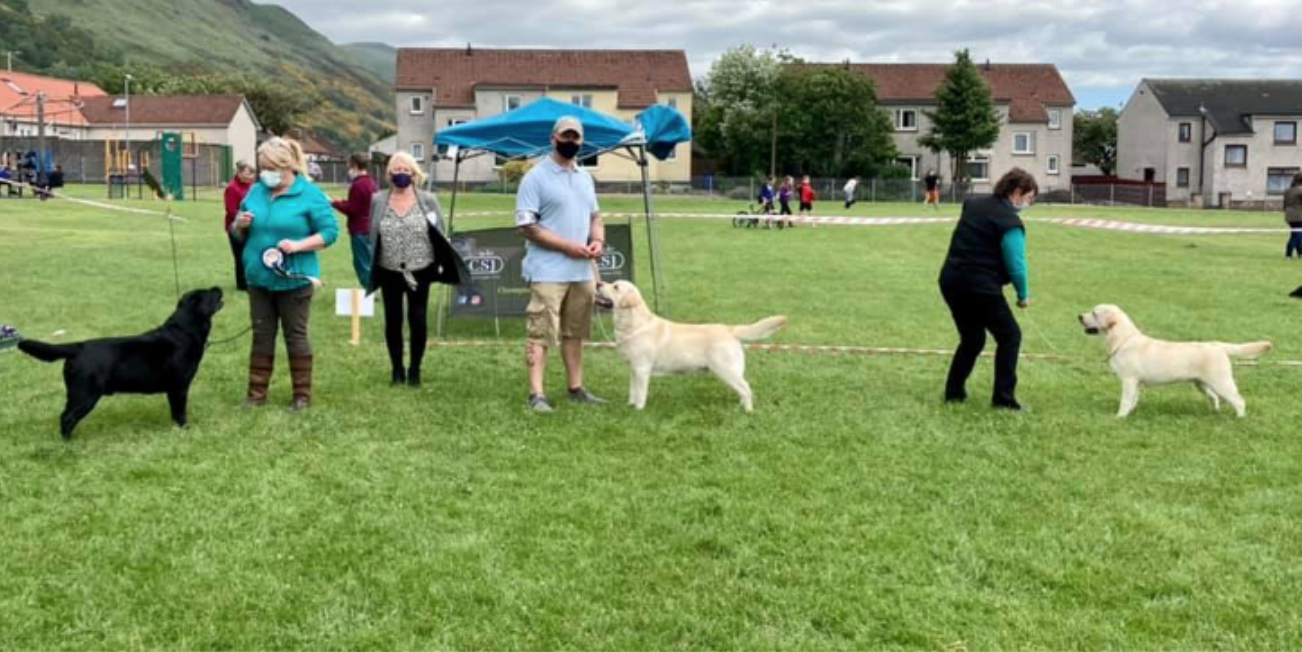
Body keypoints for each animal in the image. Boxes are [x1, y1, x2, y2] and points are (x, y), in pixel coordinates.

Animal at [20, 288, 225, 437]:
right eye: (209, 292)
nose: (218, 287)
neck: (183, 332)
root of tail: (79, 346)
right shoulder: (179, 387)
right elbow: (180, 411)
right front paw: (185, 429)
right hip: (84, 395)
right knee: (67, 418)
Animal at [593, 279, 781, 411]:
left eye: (616, 287)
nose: (598, 283)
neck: (634, 325)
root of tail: (729, 329)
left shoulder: (642, 368)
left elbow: (640, 393)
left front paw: (638, 411)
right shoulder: (633, 368)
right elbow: (632, 391)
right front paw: (630, 406)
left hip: (725, 370)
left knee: (747, 389)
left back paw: (748, 411)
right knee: (743, 389)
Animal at [1078, 303, 1270, 416]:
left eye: (1094, 313)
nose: (1079, 316)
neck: (1123, 339)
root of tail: (1217, 345)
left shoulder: (1129, 380)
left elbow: (1125, 400)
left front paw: (1120, 417)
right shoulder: (1137, 383)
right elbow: (1133, 400)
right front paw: (1131, 412)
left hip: (1221, 382)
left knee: (1239, 400)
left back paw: (1240, 418)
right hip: (1202, 384)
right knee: (1215, 398)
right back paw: (1215, 411)